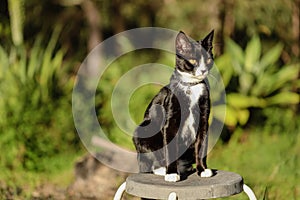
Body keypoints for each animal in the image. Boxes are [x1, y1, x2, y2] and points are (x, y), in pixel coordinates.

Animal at [132, 30, 214, 182]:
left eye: (208, 60)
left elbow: (201, 145)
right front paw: (171, 173)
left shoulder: (204, 119)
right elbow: (170, 148)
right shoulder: (171, 120)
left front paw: (202, 170)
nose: (203, 70)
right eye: (193, 61)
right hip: (143, 130)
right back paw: (162, 169)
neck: (191, 87)